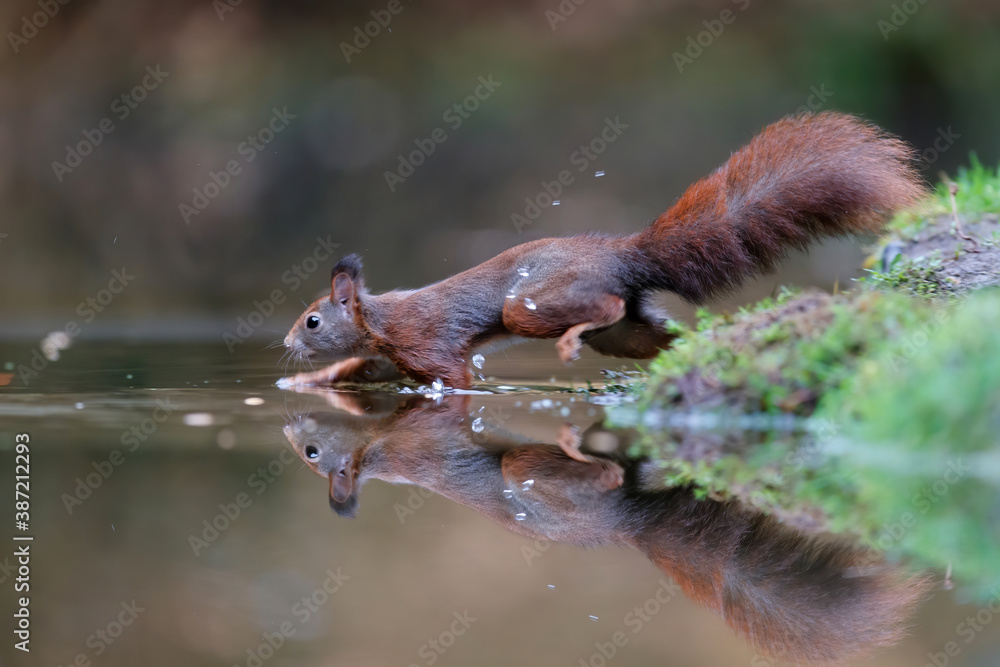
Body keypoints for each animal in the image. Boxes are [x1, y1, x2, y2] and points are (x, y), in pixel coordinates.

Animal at [281, 112, 924, 389]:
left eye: (312, 320)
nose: (285, 345)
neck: (380, 318)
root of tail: (623, 255)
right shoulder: (383, 355)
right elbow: (355, 370)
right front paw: (304, 385)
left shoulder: (425, 344)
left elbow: (452, 380)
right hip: (627, 333)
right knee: (656, 334)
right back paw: (697, 346)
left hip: (535, 304)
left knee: (604, 310)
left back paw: (571, 343)